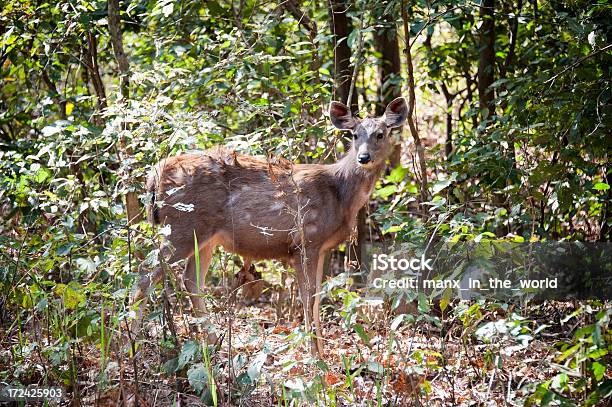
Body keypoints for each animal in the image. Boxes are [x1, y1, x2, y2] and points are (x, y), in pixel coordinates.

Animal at [130, 96, 408, 356]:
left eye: (380, 134)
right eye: (354, 134)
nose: (364, 157)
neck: (341, 194)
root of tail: (153, 176)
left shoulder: (322, 248)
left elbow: (317, 297)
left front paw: (320, 351)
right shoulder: (306, 240)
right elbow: (308, 296)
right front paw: (314, 356)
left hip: (204, 236)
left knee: (191, 280)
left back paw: (211, 342)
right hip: (182, 227)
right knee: (145, 275)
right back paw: (132, 344)